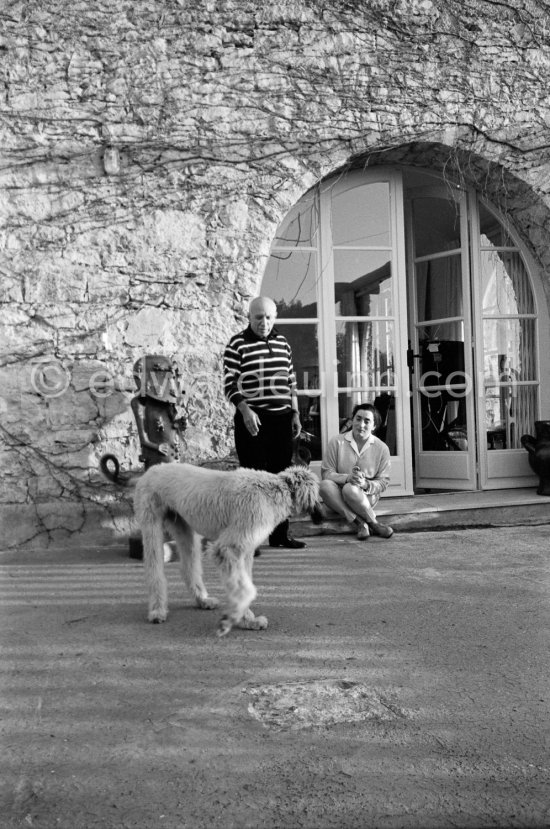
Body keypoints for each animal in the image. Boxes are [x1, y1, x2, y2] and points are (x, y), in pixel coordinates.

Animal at [134, 462, 322, 636]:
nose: (320, 513)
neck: (274, 490)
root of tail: (152, 469)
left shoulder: (245, 550)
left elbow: (243, 582)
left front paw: (246, 619)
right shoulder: (230, 548)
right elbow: (242, 587)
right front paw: (240, 620)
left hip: (182, 525)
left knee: (189, 566)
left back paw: (202, 600)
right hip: (151, 520)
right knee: (154, 568)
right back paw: (157, 611)